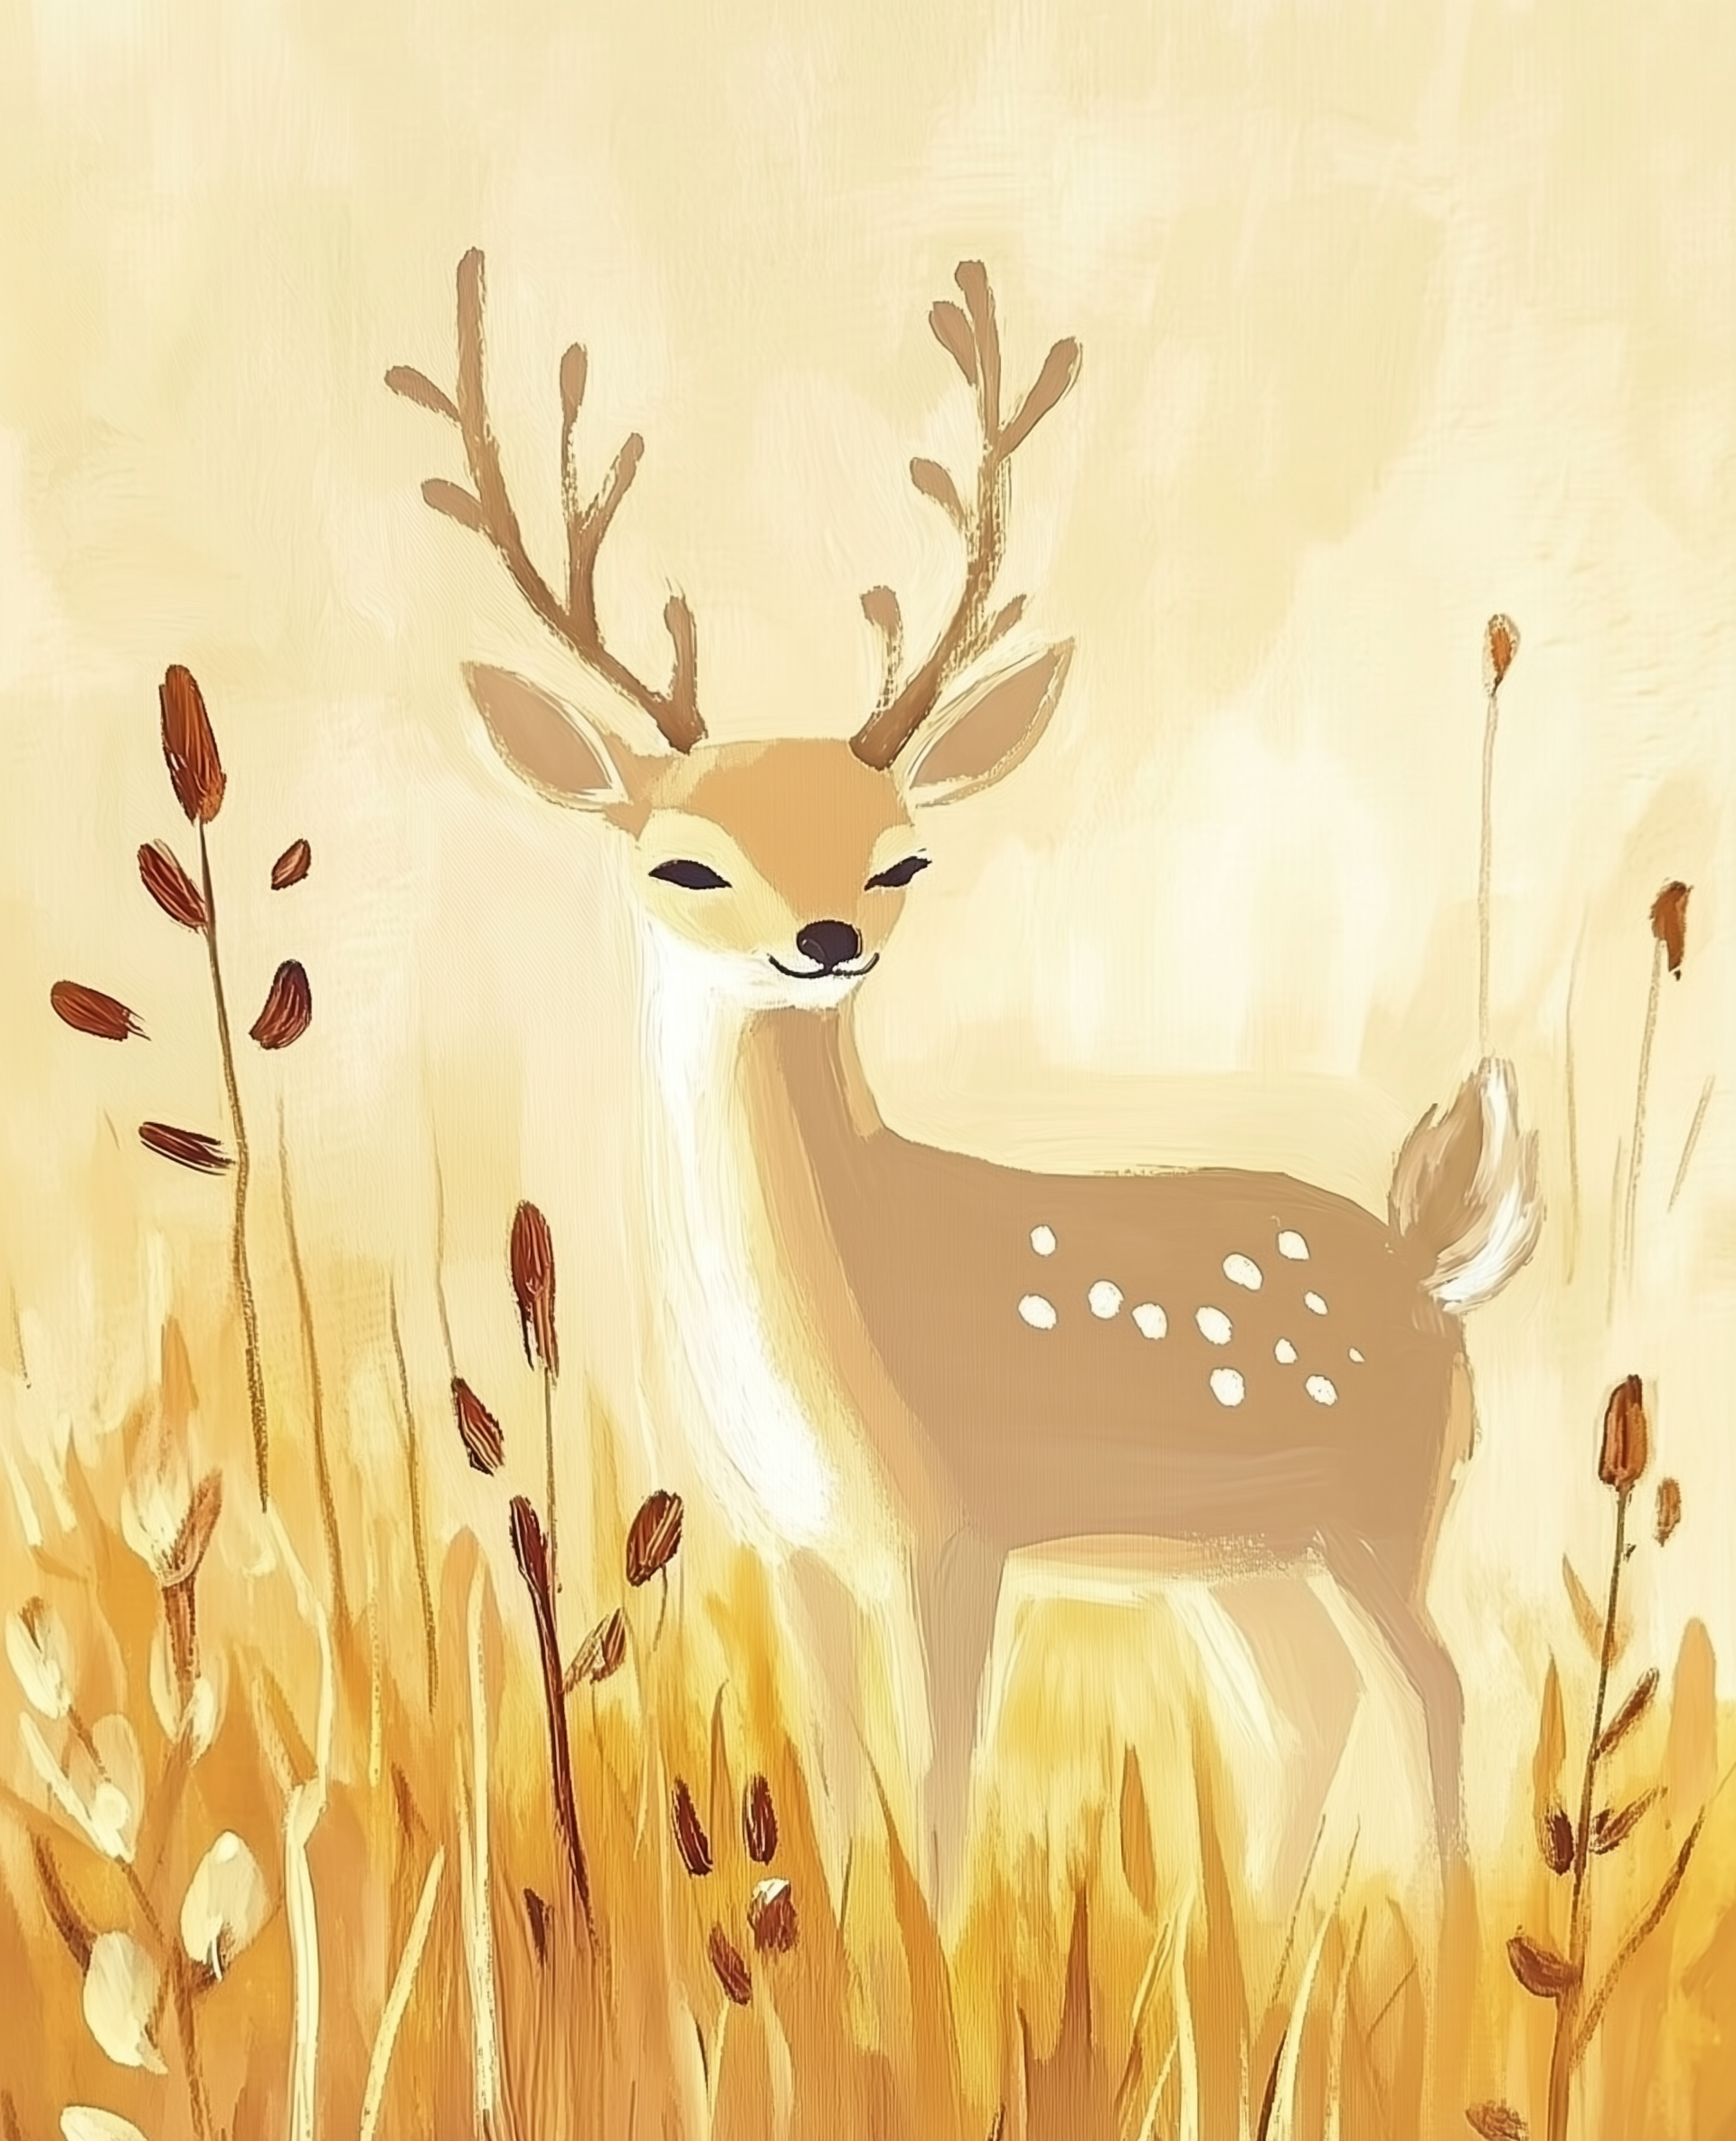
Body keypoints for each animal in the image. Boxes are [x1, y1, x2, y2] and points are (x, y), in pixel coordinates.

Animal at [389, 250, 1543, 1904]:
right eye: (685, 862)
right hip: (1244, 1555)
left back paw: (1443, 1931)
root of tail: (1431, 1261)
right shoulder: (789, 1541)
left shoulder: (957, 1523)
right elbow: (829, 1776)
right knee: (1306, 1707)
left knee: (1435, 1691)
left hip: (1383, 1509)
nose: (821, 941)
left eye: (900, 860)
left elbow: (937, 1792)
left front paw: (924, 1953)